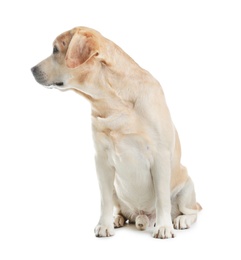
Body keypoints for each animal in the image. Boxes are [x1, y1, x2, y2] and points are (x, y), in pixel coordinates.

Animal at [31, 26, 201, 240]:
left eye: (55, 50)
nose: (32, 69)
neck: (113, 102)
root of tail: (144, 216)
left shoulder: (160, 157)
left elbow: (162, 199)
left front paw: (164, 227)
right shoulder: (101, 161)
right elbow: (104, 200)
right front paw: (104, 225)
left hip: (187, 185)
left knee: (192, 210)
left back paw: (180, 220)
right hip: (116, 188)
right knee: (121, 210)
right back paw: (118, 219)